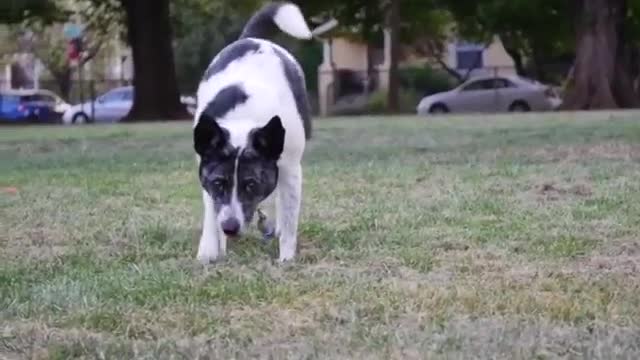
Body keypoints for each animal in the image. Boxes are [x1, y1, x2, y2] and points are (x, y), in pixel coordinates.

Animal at [194, 1, 314, 262]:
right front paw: (209, 251)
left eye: (251, 184)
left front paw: (286, 259)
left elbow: (289, 218)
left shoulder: (290, 167)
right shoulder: (205, 168)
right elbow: (211, 209)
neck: (243, 119)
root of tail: (254, 38)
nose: (230, 228)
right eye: (218, 183)